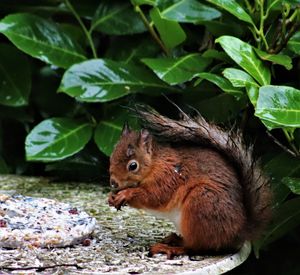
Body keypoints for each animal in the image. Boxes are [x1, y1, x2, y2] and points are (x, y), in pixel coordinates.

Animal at [108, 106, 272, 260]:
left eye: (133, 166)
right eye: (111, 156)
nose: (113, 183)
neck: (156, 163)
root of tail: (240, 232)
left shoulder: (168, 178)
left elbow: (155, 197)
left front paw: (126, 194)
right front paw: (111, 196)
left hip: (201, 203)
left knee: (196, 247)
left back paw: (171, 248)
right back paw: (174, 239)